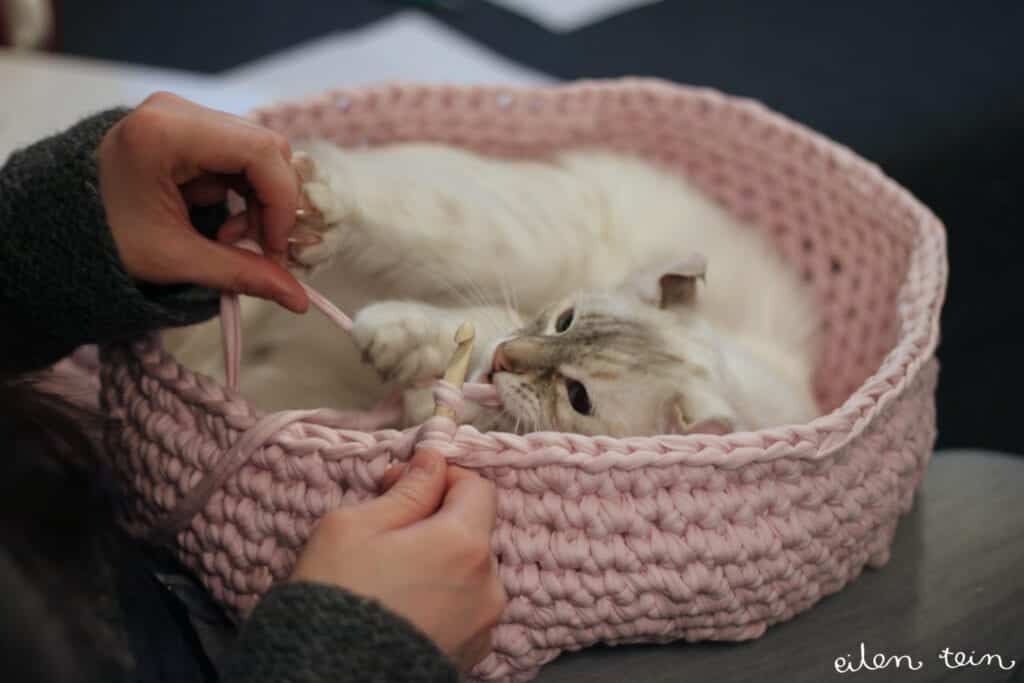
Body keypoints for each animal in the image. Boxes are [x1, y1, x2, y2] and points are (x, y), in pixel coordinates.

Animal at [163, 143, 819, 438]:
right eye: (564, 321)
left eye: (578, 397)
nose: (510, 360)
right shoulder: (509, 314)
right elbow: (460, 330)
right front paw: (396, 340)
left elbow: (449, 377)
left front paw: (400, 363)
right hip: (530, 241)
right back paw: (314, 217)